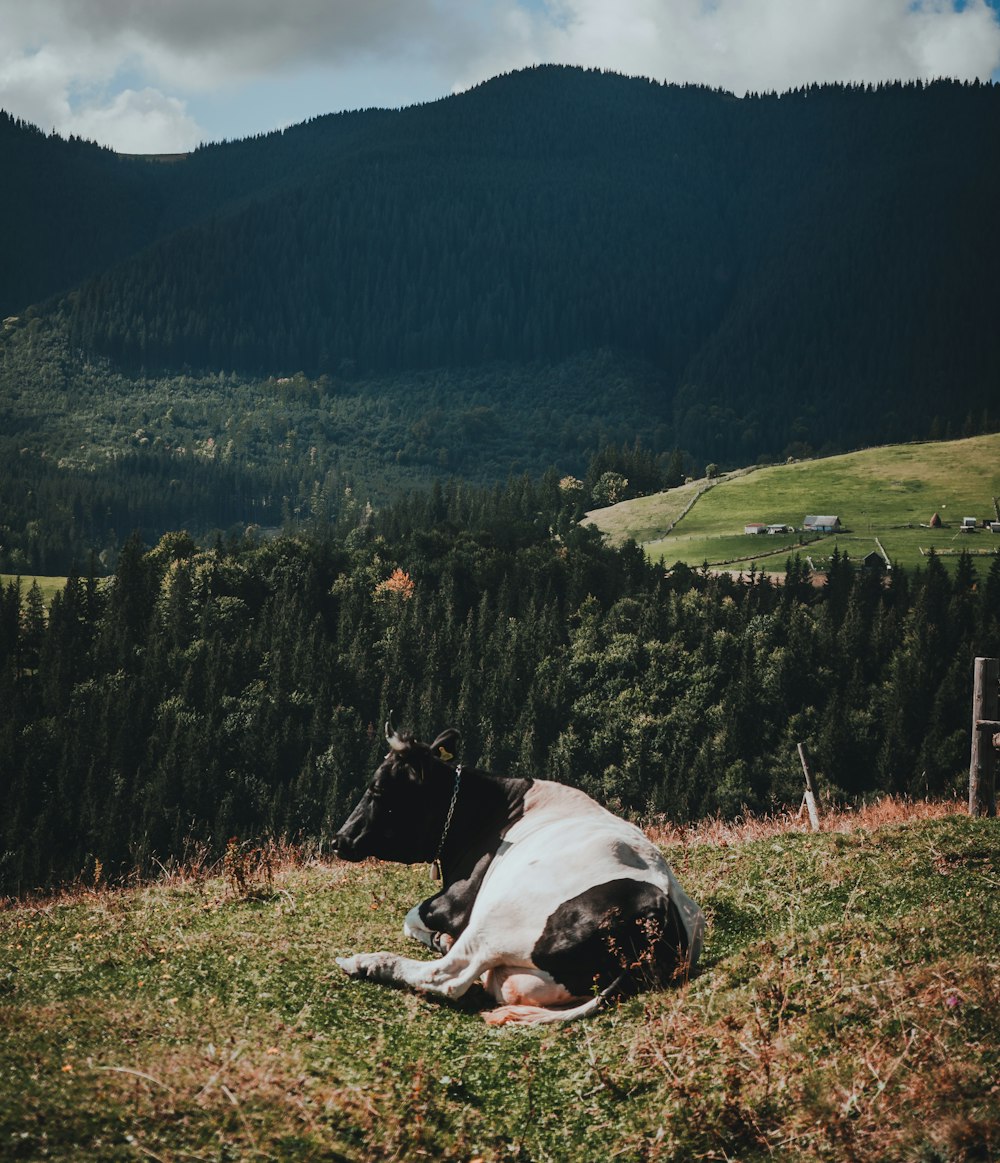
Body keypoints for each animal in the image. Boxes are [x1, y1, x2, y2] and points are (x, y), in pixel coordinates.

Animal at [330, 725, 702, 1028]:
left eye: (377, 788)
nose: (338, 840)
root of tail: (659, 910)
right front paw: (439, 938)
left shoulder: (457, 902)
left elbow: (410, 918)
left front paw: (438, 938)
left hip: (498, 920)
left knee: (449, 976)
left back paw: (364, 962)